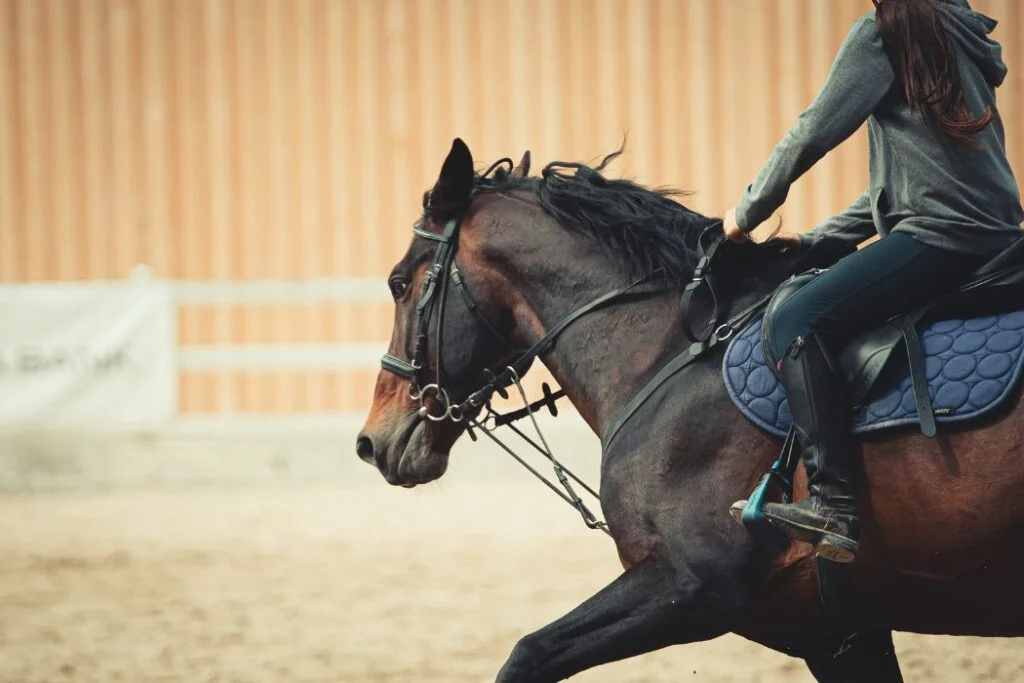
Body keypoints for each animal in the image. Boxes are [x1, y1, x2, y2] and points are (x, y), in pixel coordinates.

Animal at [357, 138, 1024, 682]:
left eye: (398, 283)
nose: (371, 442)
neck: (668, 351)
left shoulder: (689, 587)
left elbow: (527, 654)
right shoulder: (836, 633)